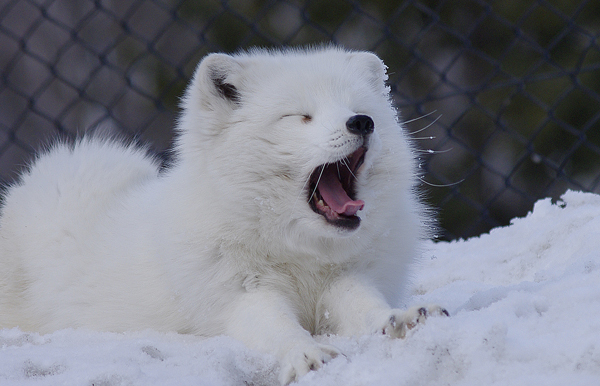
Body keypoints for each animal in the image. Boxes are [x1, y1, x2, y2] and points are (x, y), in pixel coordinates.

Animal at [1, 46, 446, 384]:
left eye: (358, 108)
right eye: (301, 116)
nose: (362, 122)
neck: (300, 254)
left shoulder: (345, 279)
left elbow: (366, 306)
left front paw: (401, 319)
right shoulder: (241, 297)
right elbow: (278, 328)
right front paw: (306, 353)